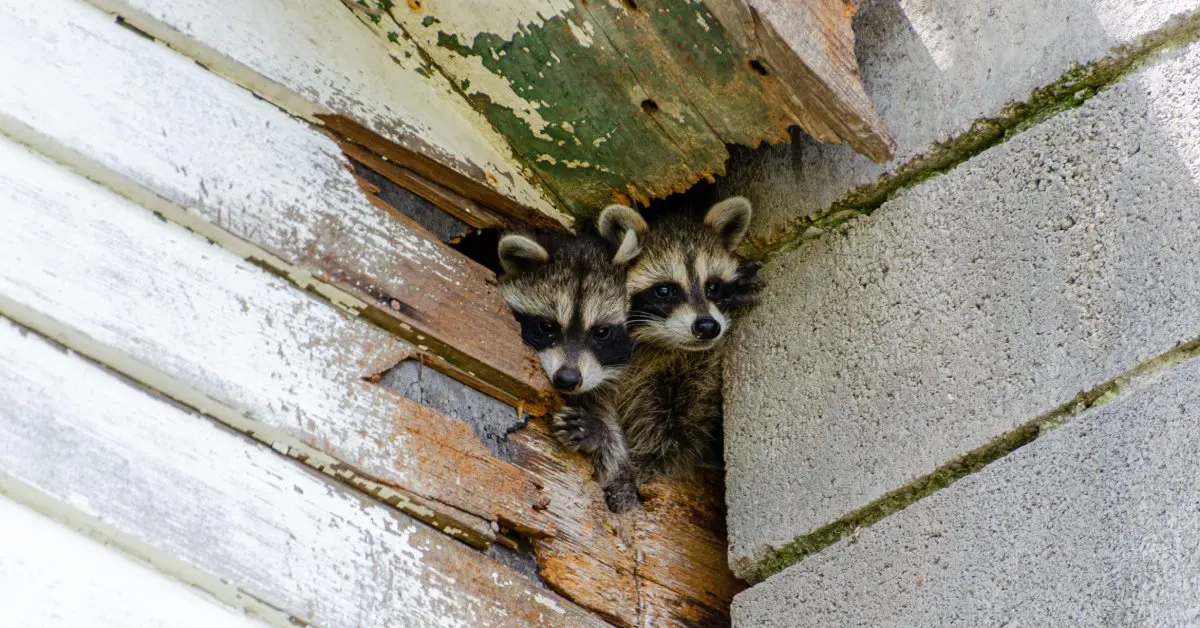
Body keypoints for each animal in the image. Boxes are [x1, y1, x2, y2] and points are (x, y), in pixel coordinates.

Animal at [592, 199, 768, 513]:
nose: (708, 327)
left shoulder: (693, 372)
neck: (662, 344)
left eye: (713, 286)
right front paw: (626, 473)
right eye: (664, 290)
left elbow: (679, 434)